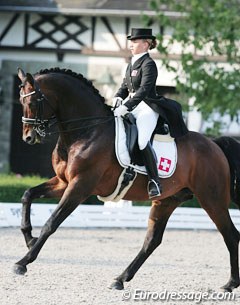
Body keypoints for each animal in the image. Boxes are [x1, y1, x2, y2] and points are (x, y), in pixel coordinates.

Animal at [15, 67, 240, 292]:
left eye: (32, 102)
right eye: (20, 101)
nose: (28, 137)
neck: (88, 129)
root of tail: (214, 144)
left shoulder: (80, 185)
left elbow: (52, 222)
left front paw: (23, 262)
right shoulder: (64, 182)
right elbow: (28, 195)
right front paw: (29, 238)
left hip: (212, 199)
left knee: (230, 235)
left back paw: (230, 284)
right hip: (167, 200)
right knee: (152, 241)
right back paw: (120, 278)